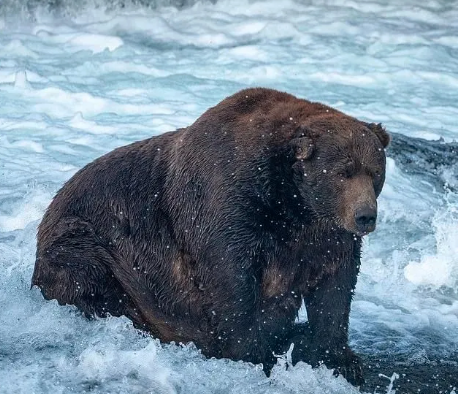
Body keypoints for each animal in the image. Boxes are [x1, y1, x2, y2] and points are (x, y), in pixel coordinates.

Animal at [33, 87, 388, 386]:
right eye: (343, 172)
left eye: (375, 172)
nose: (365, 216)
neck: (292, 204)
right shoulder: (231, 204)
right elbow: (230, 280)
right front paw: (251, 353)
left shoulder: (325, 236)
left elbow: (335, 287)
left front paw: (339, 359)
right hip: (91, 242)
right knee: (88, 273)